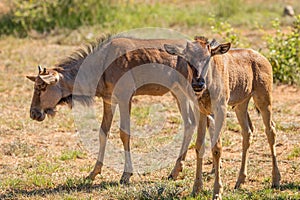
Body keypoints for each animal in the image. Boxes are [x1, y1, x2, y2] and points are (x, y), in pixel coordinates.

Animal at [27, 36, 202, 188]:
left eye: (42, 87)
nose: (33, 113)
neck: (102, 63)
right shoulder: (109, 101)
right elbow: (103, 132)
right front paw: (93, 173)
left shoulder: (125, 99)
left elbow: (124, 134)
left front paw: (126, 175)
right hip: (178, 93)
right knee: (190, 123)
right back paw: (176, 170)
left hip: (191, 91)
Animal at [164, 36, 282, 199]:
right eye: (188, 59)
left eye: (208, 57)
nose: (198, 84)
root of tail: (262, 58)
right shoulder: (202, 112)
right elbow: (199, 145)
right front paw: (196, 188)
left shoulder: (220, 109)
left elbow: (217, 148)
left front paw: (217, 191)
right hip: (241, 105)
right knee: (247, 132)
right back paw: (240, 181)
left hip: (264, 99)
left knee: (270, 131)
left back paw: (275, 180)